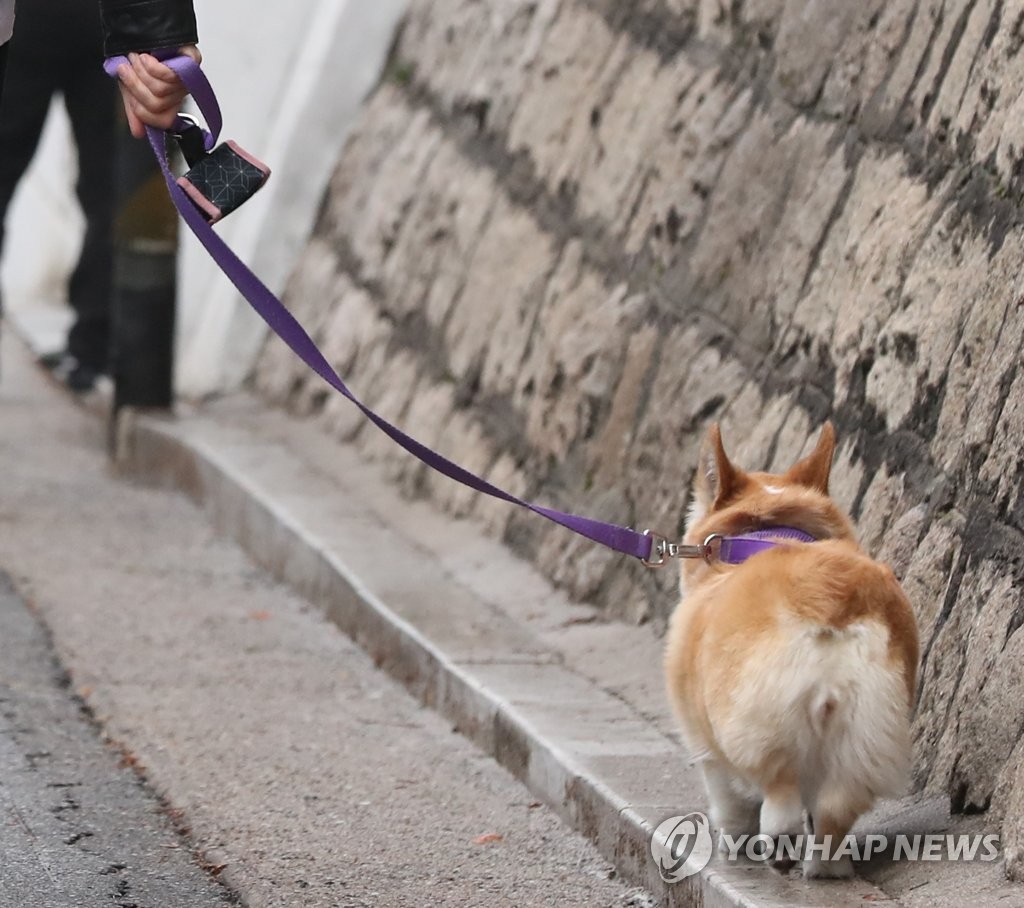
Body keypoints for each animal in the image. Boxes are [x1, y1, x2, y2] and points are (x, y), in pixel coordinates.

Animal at [663, 421, 921, 876]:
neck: (764, 536)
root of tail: (832, 600)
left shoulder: (704, 742)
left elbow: (728, 802)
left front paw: (732, 843)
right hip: (866, 732)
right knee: (832, 815)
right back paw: (828, 869)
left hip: (763, 728)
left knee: (780, 796)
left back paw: (780, 853)